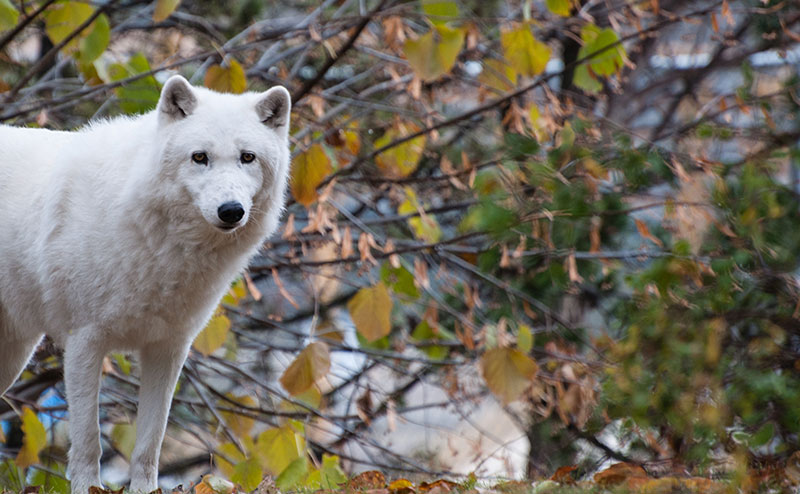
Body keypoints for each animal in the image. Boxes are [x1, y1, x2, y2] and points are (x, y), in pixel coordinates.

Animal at [0, 75, 292, 492]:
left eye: (247, 157)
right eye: (199, 157)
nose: (231, 211)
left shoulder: (167, 349)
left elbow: (150, 443)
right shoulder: (84, 342)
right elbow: (87, 442)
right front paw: (88, 488)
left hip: (14, 355)